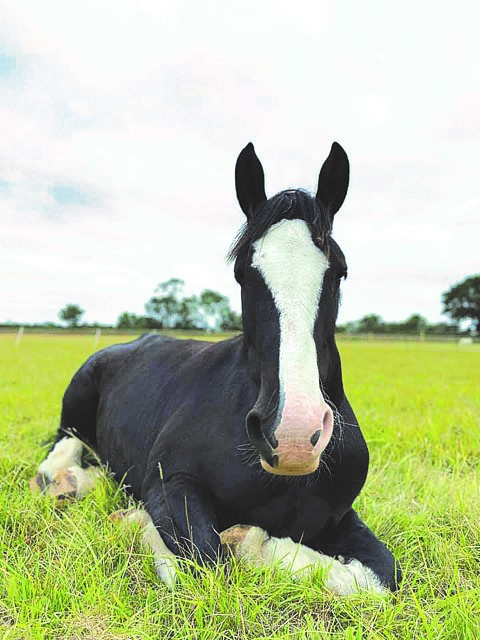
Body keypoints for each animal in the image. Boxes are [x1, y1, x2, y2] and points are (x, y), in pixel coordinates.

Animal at [31, 142, 400, 594]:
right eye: (243, 272)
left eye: (340, 271)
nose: (294, 436)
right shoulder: (172, 483)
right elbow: (206, 557)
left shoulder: (338, 517)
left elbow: (380, 574)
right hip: (75, 410)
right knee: (60, 454)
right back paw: (68, 483)